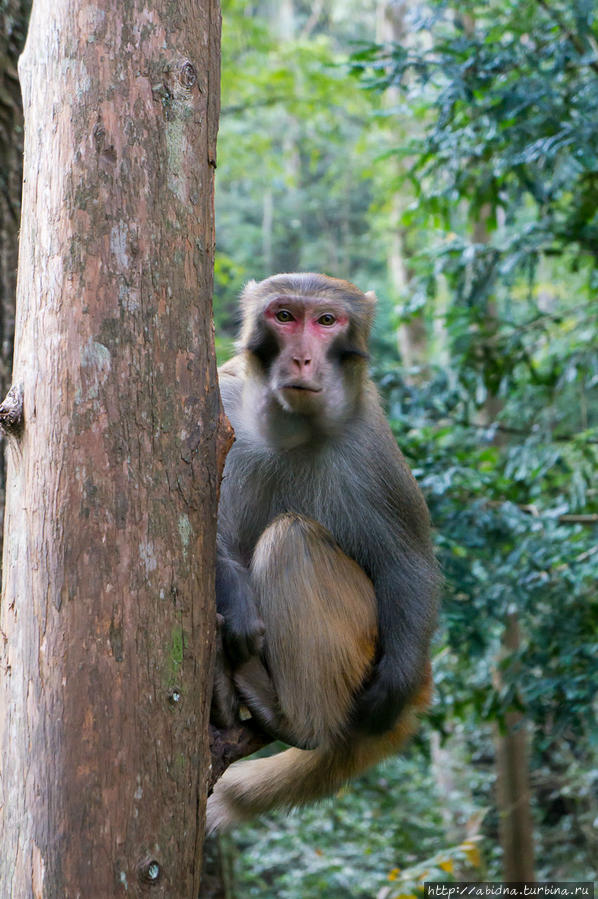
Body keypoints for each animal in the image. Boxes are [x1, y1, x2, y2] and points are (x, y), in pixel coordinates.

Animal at [210, 270, 440, 832]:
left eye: (327, 321)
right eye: (284, 316)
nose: (301, 359)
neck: (293, 428)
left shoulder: (371, 441)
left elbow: (408, 564)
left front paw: (392, 684)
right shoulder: (222, 397)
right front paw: (237, 599)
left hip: (360, 645)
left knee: (293, 539)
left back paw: (296, 719)